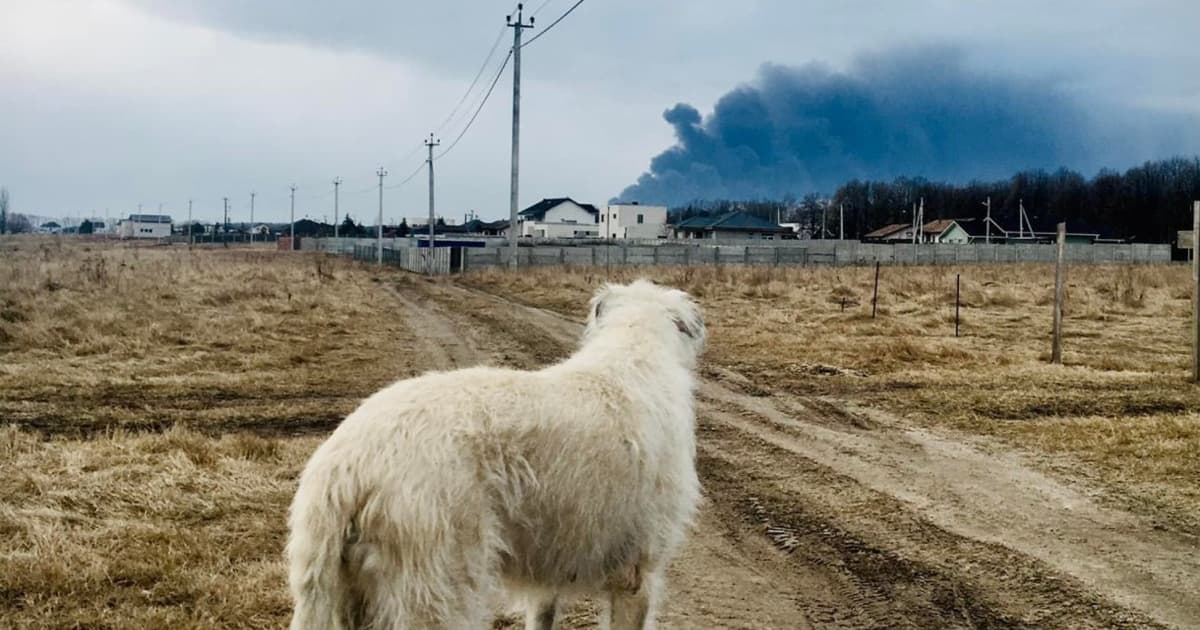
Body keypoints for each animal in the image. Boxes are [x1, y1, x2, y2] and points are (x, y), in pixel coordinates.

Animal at [288, 279, 700, 628]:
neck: (633, 348)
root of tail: (342, 468)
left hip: (348, 591)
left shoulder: (547, 579)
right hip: (439, 586)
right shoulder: (637, 573)